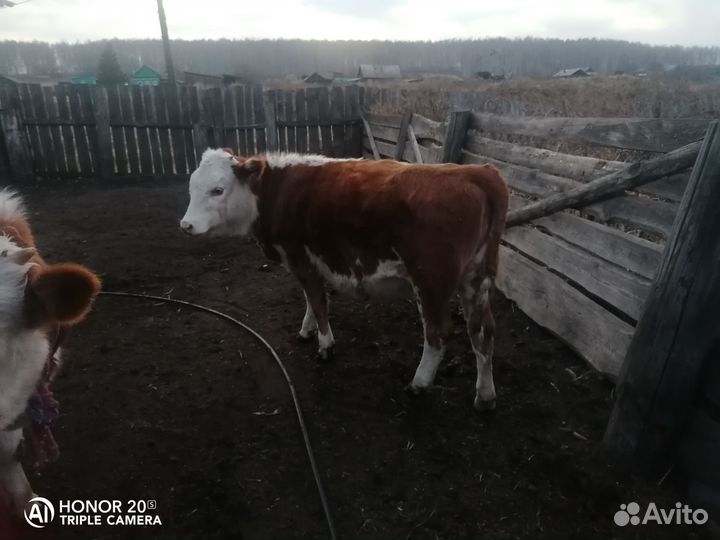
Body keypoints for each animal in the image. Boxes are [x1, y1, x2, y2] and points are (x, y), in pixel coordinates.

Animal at [180, 150, 508, 410]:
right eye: (192, 187)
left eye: (217, 189)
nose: (186, 225)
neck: (277, 192)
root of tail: (476, 172)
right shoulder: (308, 264)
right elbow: (310, 300)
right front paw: (307, 329)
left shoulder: (301, 259)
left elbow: (318, 302)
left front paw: (325, 345)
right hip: (476, 279)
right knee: (483, 331)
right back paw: (486, 395)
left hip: (431, 283)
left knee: (438, 333)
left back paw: (420, 382)